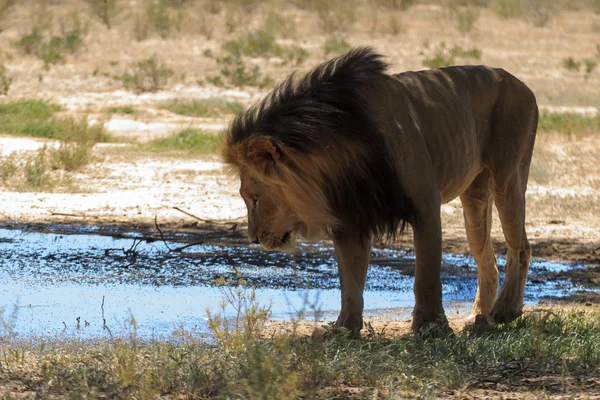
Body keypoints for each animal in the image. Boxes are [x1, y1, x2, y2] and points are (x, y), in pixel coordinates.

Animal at [221, 47, 540, 334]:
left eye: (254, 199)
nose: (252, 239)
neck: (338, 154)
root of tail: (521, 83)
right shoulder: (351, 216)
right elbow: (350, 280)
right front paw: (344, 328)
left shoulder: (425, 202)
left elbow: (426, 276)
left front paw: (431, 327)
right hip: (474, 197)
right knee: (486, 257)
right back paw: (479, 317)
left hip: (509, 176)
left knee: (521, 246)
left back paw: (506, 310)